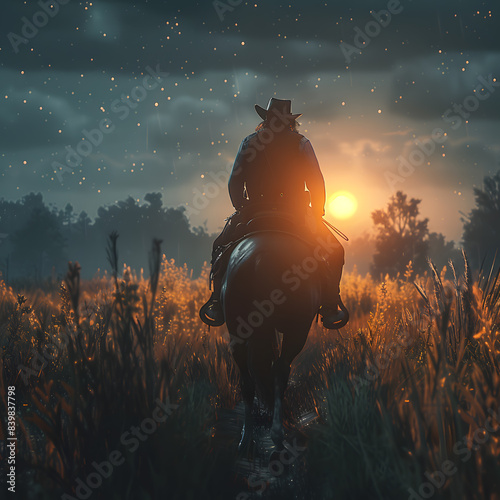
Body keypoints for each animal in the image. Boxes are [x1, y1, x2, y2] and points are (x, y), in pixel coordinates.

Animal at [223, 229, 348, 456]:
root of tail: (261, 260)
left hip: (238, 330)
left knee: (247, 381)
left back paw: (246, 439)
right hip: (297, 330)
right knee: (280, 371)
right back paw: (278, 438)